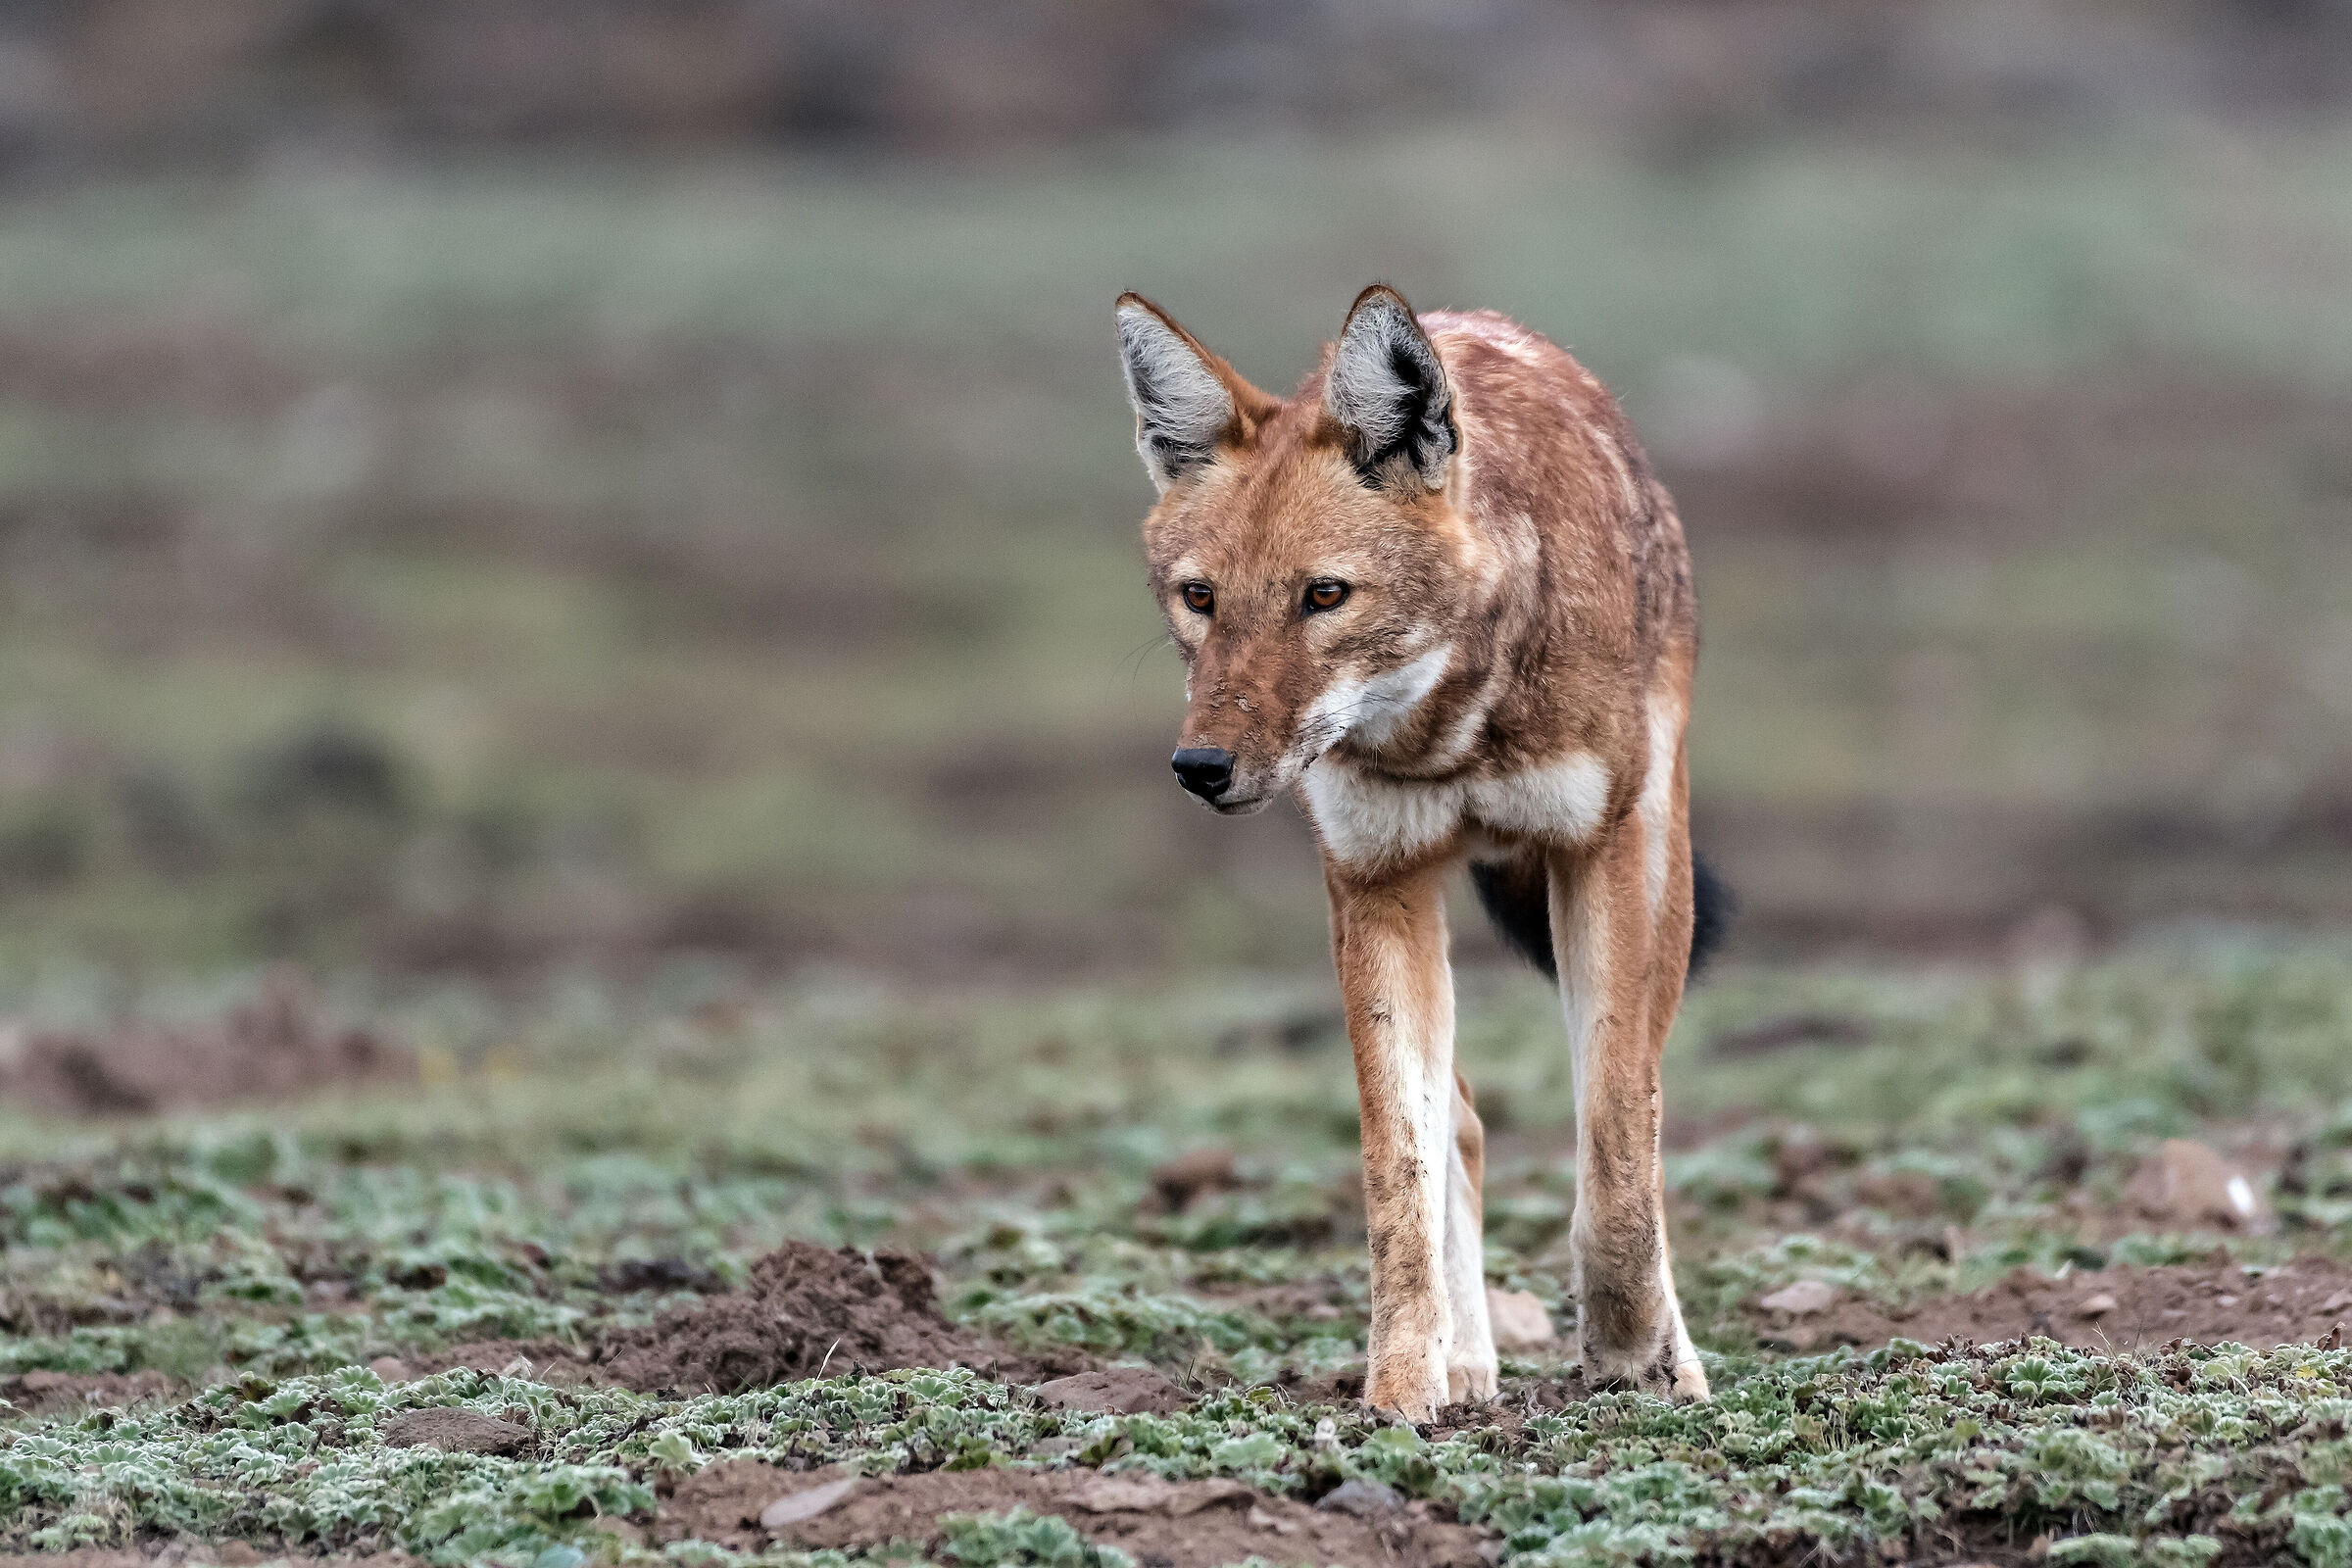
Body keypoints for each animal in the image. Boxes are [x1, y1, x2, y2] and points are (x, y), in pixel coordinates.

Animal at [1113, 285, 1730, 1420]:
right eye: (1200, 598)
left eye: (1324, 596)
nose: (1200, 766)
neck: (1452, 733)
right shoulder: (1374, 881)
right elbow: (1397, 1165)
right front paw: (1403, 1385)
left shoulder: (1601, 855)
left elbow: (1617, 1158)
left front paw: (1634, 1358)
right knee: (1466, 1124)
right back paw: (1470, 1362)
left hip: (1665, 879)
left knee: (1631, 1103)